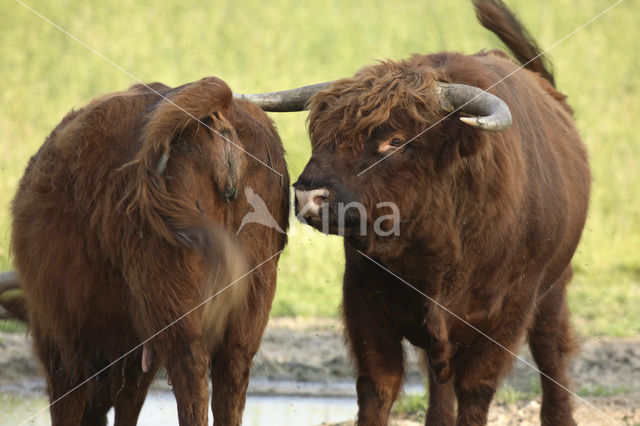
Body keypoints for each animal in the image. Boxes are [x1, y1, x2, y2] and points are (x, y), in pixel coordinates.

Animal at [10, 75, 288, 424]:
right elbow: (128, 399)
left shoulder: (60, 330)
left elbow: (71, 399)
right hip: (253, 291)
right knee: (232, 369)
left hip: (168, 285)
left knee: (189, 364)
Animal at [239, 0, 592, 426]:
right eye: (320, 134)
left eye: (395, 141)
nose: (309, 196)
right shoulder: (363, 301)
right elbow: (378, 387)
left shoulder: (508, 313)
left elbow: (476, 392)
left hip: (553, 287)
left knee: (550, 349)